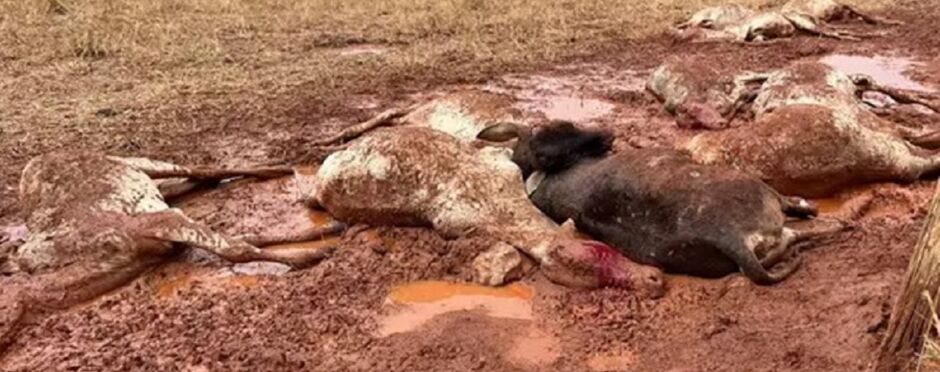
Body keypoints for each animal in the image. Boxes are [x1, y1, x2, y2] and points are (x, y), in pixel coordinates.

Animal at [0, 151, 344, 352]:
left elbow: (235, 248)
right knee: (194, 181)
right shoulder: (166, 232)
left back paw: (278, 168)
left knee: (197, 169)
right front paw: (325, 234)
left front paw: (315, 252)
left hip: (138, 163)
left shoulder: (159, 222)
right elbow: (244, 238)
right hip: (155, 186)